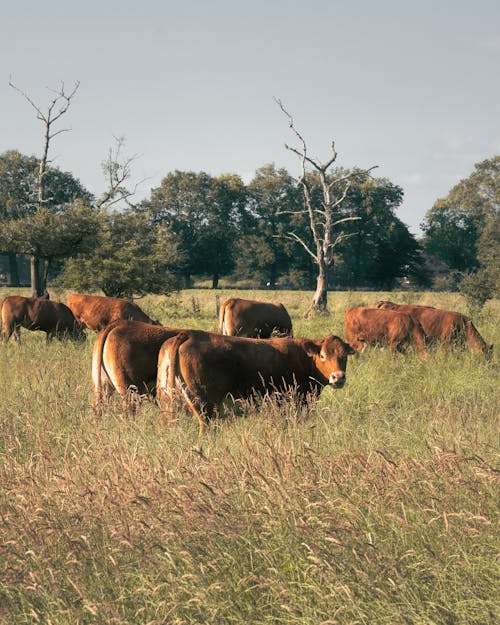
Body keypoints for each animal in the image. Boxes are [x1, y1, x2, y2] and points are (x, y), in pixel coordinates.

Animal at [157, 330, 356, 436]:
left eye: (344, 356)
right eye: (322, 355)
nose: (338, 377)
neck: (303, 359)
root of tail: (188, 334)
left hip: (168, 401)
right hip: (205, 405)